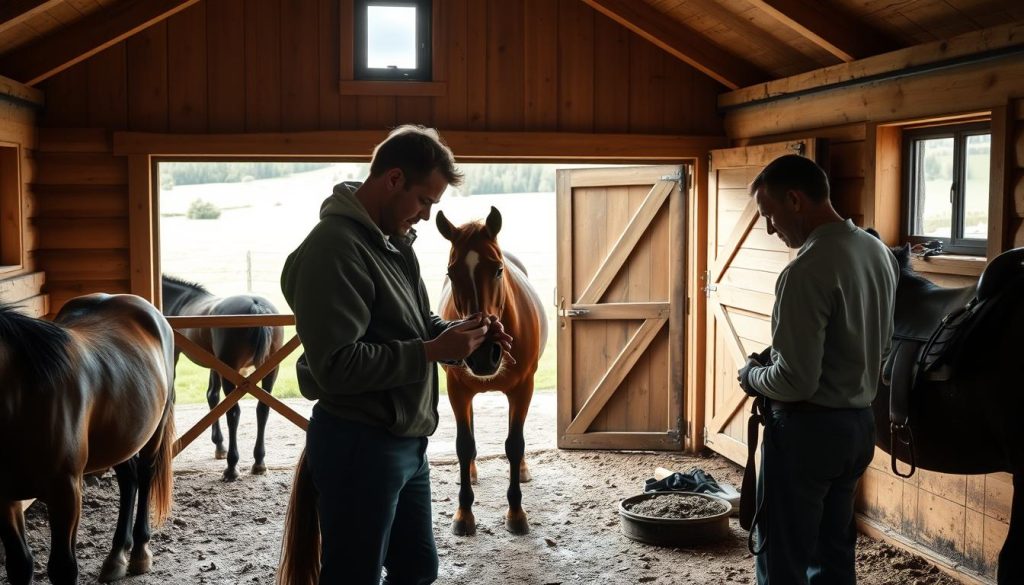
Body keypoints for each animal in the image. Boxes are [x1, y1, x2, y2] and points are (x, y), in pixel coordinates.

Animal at [0, 295, 175, 585]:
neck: (24, 394)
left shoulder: (66, 492)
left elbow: (63, 568)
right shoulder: (5, 496)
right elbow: (19, 565)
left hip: (153, 435)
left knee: (145, 477)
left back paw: (140, 552)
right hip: (121, 439)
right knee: (129, 480)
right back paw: (117, 556)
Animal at [162, 276, 284, 483]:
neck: (180, 300)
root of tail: (256, 306)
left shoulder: (175, 354)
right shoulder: (215, 364)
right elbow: (213, 397)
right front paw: (219, 446)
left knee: (233, 412)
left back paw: (231, 468)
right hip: (270, 371)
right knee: (262, 409)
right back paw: (259, 462)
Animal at [434, 205, 548, 536]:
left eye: (498, 269)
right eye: (451, 272)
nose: (483, 355)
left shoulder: (523, 389)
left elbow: (514, 444)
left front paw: (516, 512)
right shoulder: (457, 390)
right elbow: (463, 445)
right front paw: (464, 513)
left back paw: (521, 470)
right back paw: (470, 471)